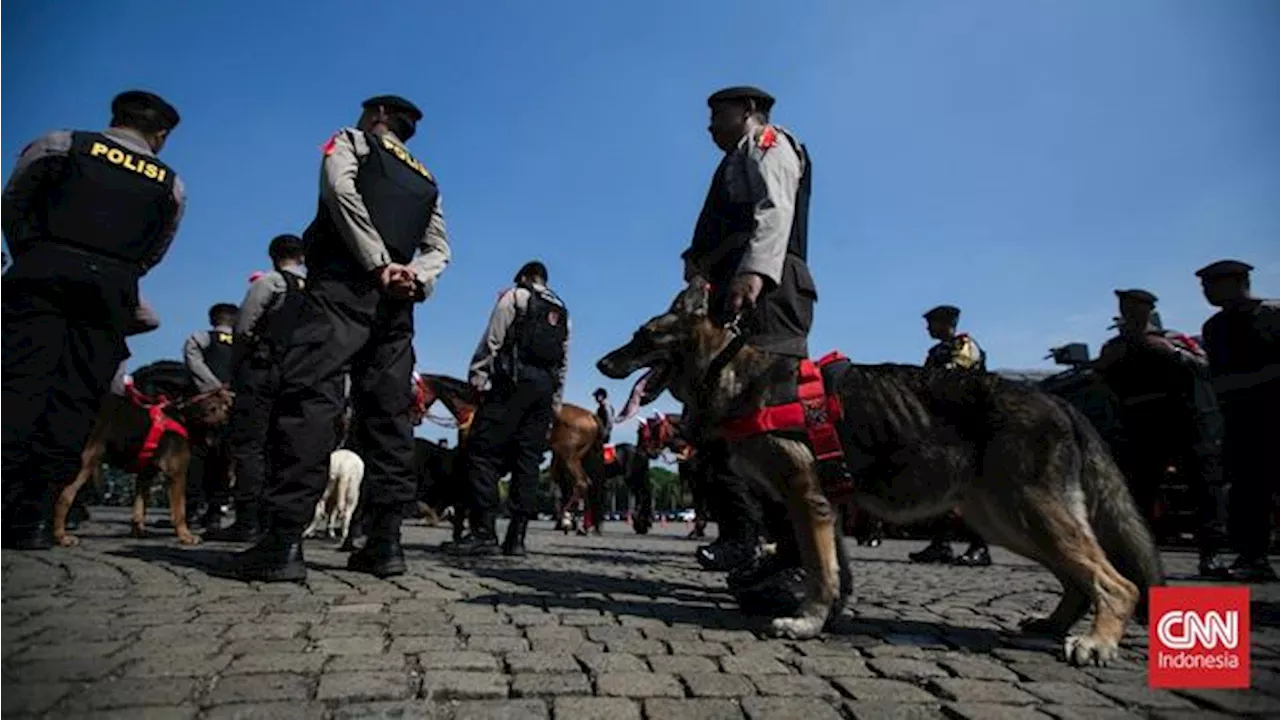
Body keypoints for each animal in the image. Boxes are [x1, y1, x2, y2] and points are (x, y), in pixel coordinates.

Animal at [414, 371, 604, 530]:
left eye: (414, 390)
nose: (415, 418)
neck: (473, 408)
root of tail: (591, 416)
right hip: (567, 457)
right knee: (577, 485)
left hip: (569, 456)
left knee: (580, 484)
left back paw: (567, 519)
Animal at [593, 279, 1167, 661]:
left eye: (643, 336)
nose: (600, 364)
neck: (730, 369)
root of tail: (1058, 400)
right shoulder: (828, 507)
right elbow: (834, 571)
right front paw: (826, 617)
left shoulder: (806, 498)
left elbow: (819, 570)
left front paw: (806, 622)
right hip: (1006, 520)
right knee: (1078, 578)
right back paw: (1052, 624)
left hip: (1026, 512)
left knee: (1117, 583)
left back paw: (1096, 640)